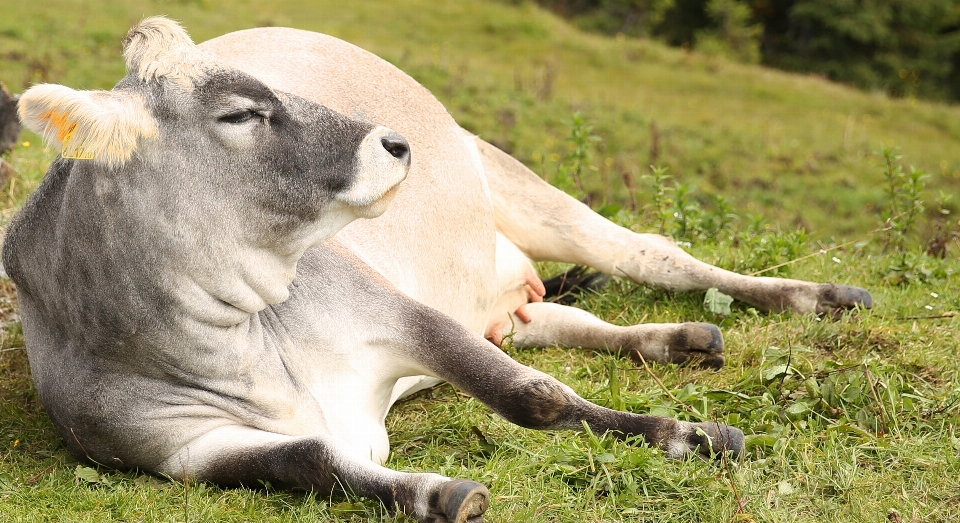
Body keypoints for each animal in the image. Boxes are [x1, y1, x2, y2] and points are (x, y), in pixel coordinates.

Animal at [3, 17, 872, 523]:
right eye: (242, 112)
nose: (393, 142)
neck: (230, 340)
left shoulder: (395, 310)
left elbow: (533, 397)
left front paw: (685, 434)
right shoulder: (181, 449)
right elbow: (313, 458)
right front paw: (434, 491)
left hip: (513, 181)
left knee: (653, 251)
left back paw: (822, 296)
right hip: (503, 291)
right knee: (562, 318)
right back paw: (682, 338)